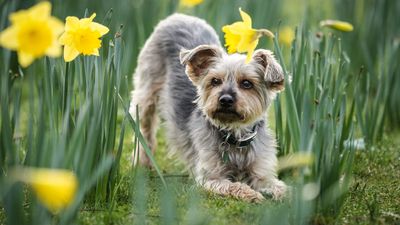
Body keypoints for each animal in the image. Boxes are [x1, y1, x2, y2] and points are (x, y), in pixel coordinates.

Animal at [131, 13, 288, 201]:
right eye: (215, 81)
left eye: (247, 83)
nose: (225, 99)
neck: (234, 135)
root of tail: (179, 16)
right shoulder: (210, 177)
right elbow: (233, 185)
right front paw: (251, 193)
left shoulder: (261, 171)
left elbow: (276, 185)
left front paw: (283, 194)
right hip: (147, 90)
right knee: (144, 126)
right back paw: (143, 161)